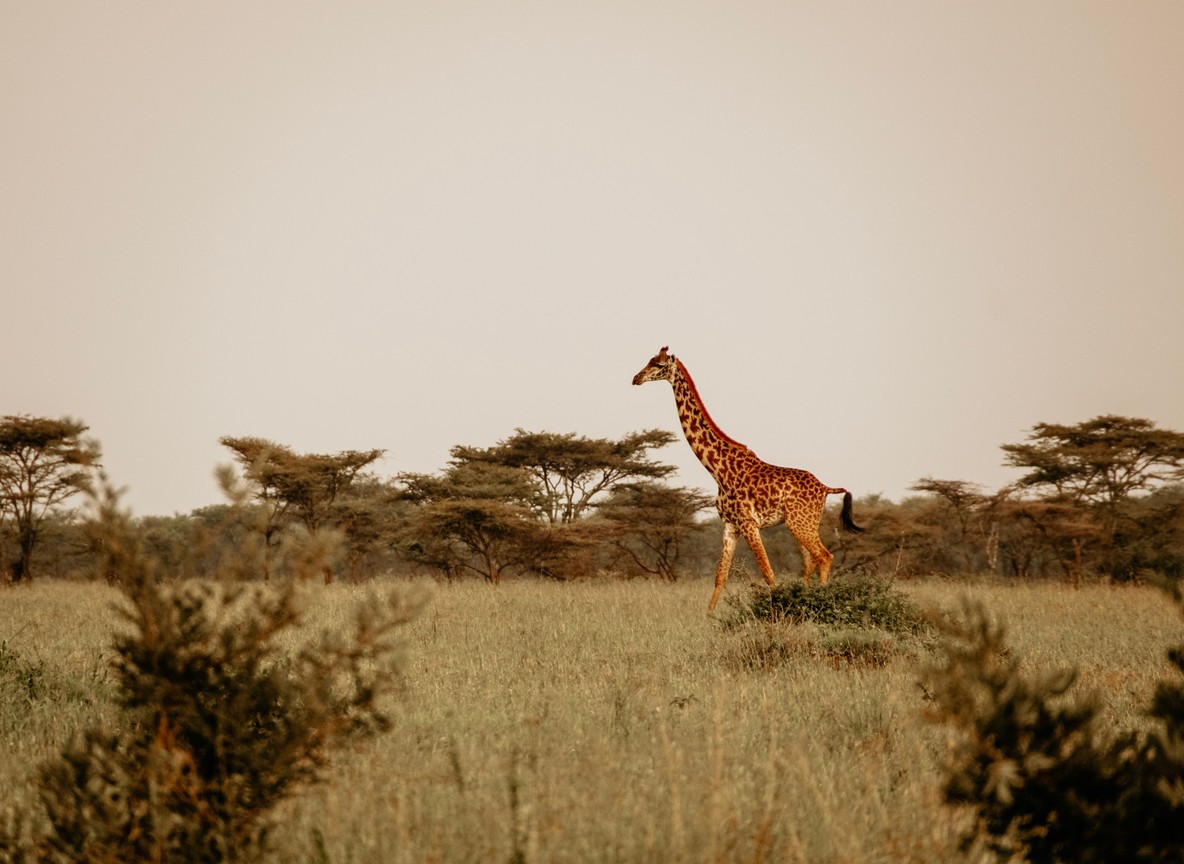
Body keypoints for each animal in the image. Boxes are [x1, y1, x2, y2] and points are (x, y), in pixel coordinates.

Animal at [632, 346, 863, 611]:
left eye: (658, 365)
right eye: (649, 360)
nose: (636, 378)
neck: (718, 470)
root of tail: (825, 488)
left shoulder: (749, 523)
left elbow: (768, 573)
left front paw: (777, 610)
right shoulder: (730, 525)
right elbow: (720, 576)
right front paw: (708, 617)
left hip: (800, 523)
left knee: (824, 556)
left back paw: (822, 603)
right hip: (804, 523)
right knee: (810, 562)